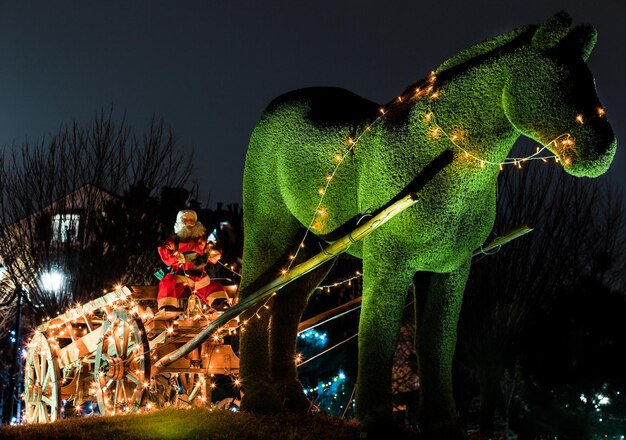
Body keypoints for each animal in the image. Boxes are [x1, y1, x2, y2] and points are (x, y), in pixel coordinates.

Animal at [236, 12, 612, 438]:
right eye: (560, 83)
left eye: (592, 83)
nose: (604, 151)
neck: (442, 152)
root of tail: (274, 107)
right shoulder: (389, 261)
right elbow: (378, 332)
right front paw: (377, 418)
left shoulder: (449, 268)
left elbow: (437, 342)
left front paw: (443, 423)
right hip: (270, 230)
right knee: (252, 297)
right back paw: (259, 397)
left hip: (316, 246)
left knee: (287, 304)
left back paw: (294, 402)